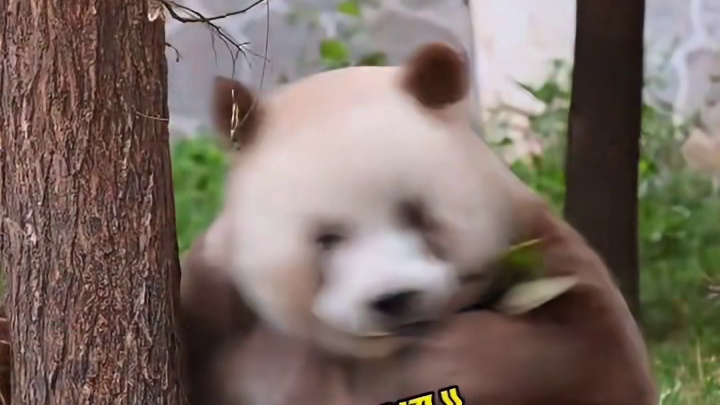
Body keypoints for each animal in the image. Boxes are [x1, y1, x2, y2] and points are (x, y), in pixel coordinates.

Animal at [180, 42, 658, 405]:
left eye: (416, 214)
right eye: (327, 239)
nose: (395, 298)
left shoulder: (538, 252)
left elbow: (587, 353)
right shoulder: (219, 309)